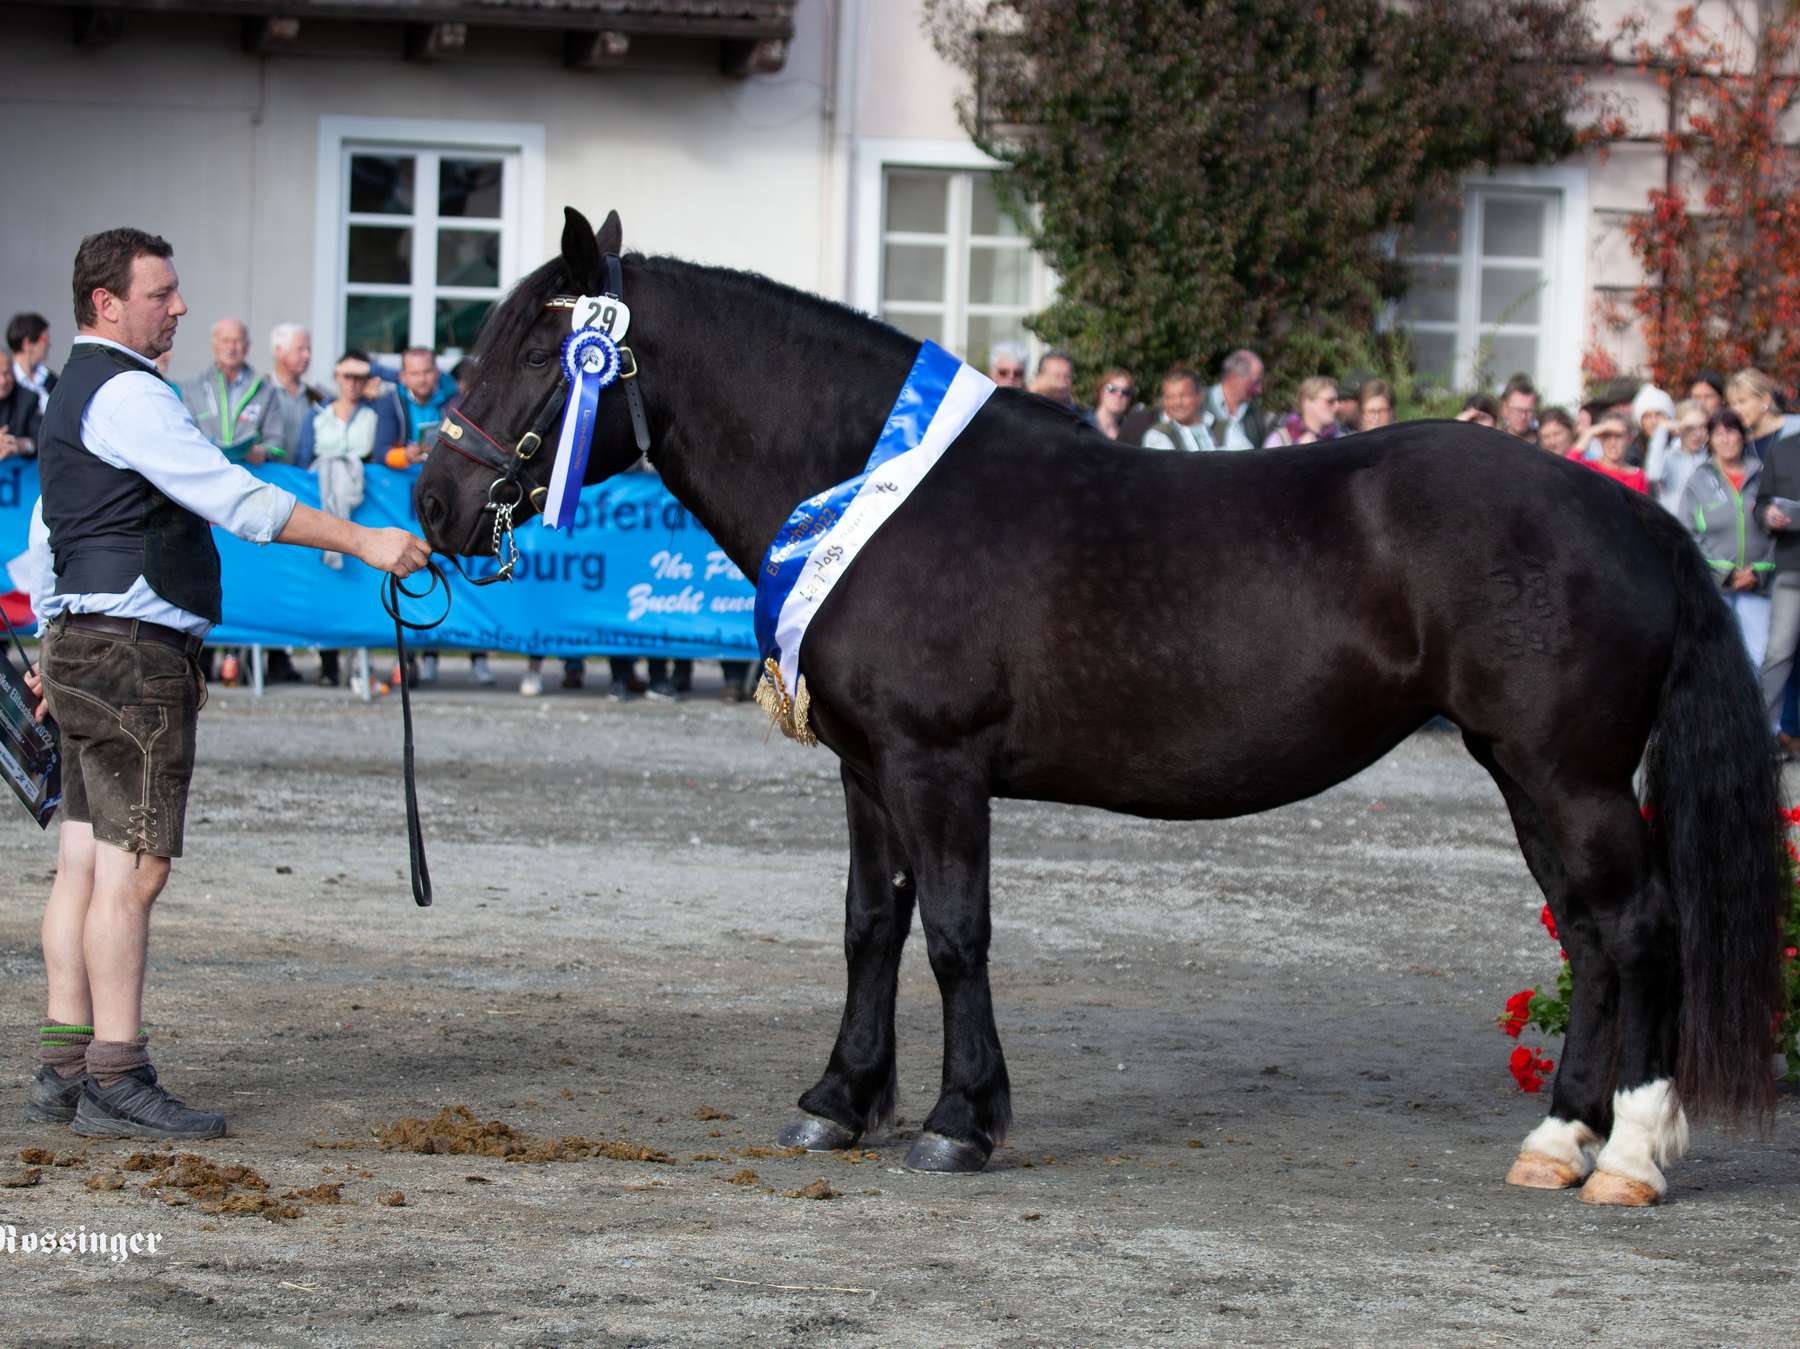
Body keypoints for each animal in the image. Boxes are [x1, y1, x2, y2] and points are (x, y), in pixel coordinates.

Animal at [417, 208, 1785, 1203]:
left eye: (544, 350)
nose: (434, 501)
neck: (880, 496)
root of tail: (1622, 507)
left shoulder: (937, 767)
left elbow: (955, 934)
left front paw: (959, 1122)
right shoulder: (866, 770)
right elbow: (870, 925)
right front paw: (837, 1101)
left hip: (1570, 773)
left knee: (1638, 928)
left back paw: (1628, 1157)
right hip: (1525, 772)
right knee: (1590, 935)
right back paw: (1557, 1140)